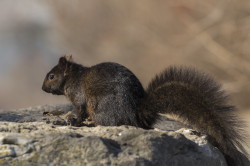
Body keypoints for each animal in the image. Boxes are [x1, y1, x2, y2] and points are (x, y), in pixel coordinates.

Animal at [42, 56, 249, 166]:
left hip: (102, 106)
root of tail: (135, 114)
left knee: (109, 121)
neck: (73, 78)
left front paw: (72, 120)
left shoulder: (79, 97)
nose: (42, 88)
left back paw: (92, 122)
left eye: (52, 76)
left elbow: (79, 111)